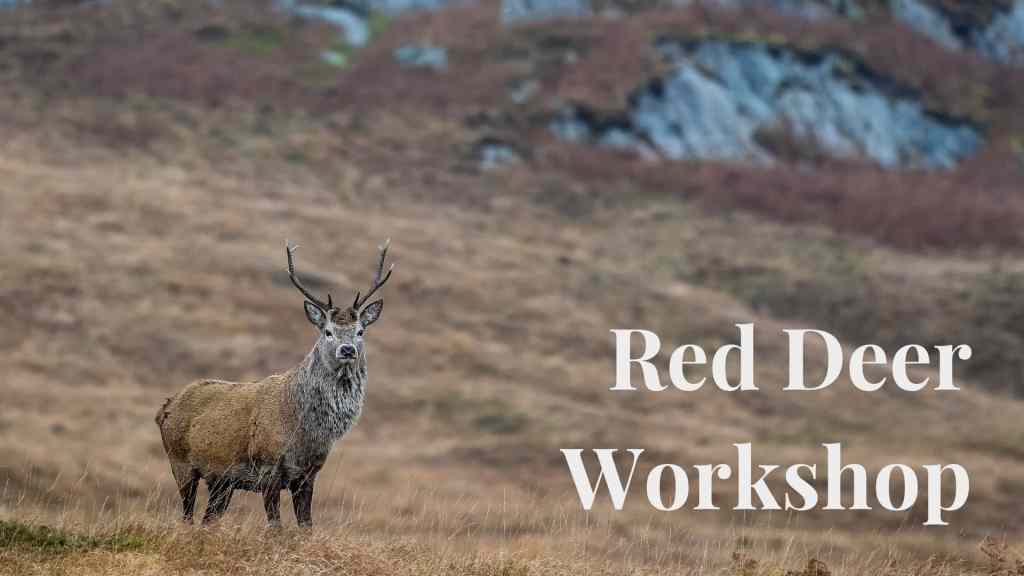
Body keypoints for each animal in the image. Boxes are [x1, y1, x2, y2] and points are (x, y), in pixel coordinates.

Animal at [155, 239, 393, 528]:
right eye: (327, 331)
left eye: (360, 331)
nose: (347, 349)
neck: (305, 431)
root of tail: (163, 408)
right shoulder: (268, 468)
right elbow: (275, 528)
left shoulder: (308, 474)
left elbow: (306, 526)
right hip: (180, 463)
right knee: (187, 517)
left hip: (221, 481)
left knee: (207, 520)